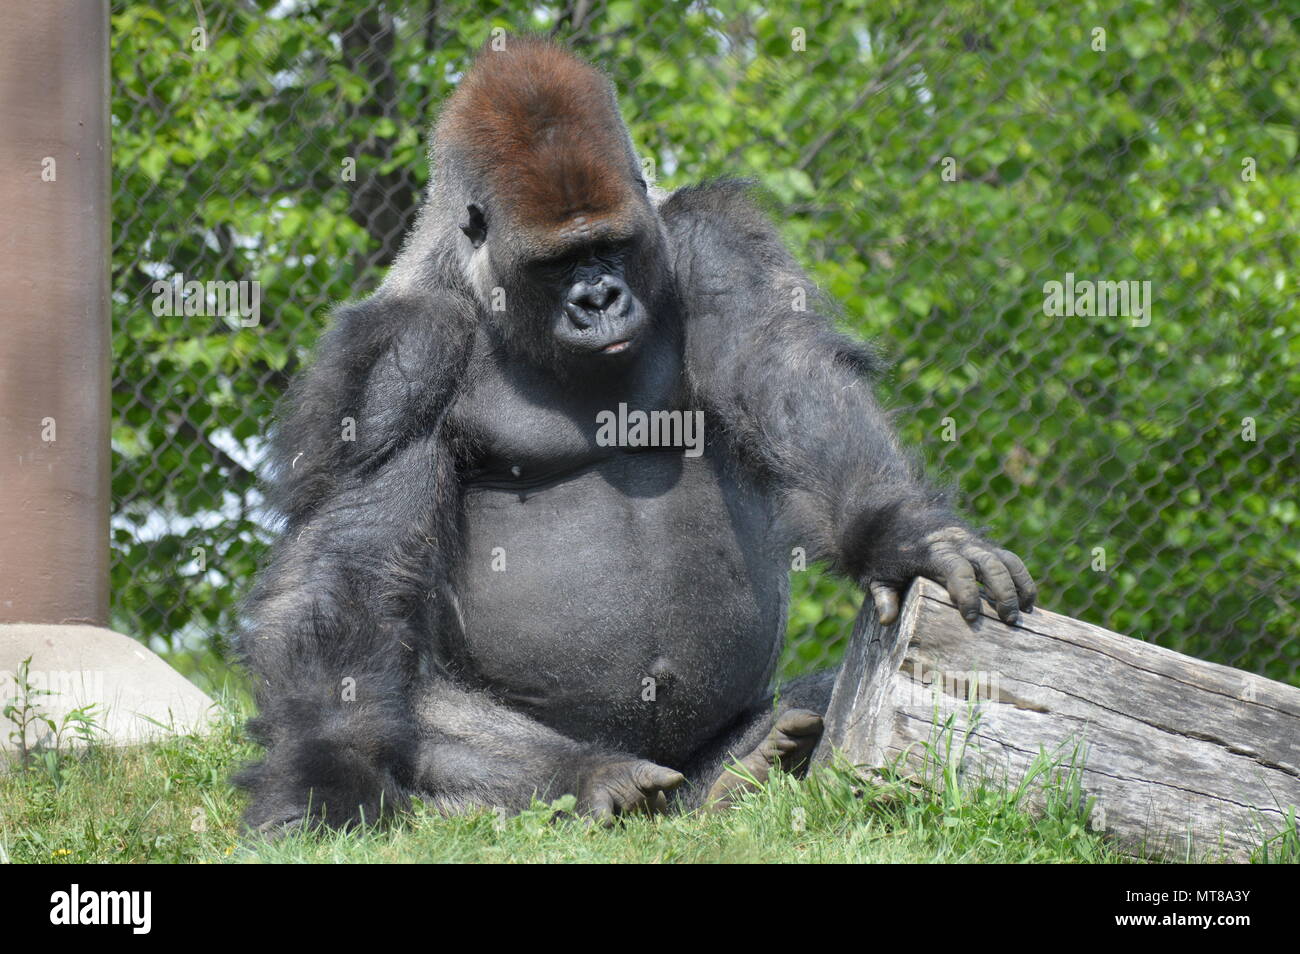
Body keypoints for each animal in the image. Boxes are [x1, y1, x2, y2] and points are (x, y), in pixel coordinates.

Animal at [233, 35, 1034, 831]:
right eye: (558, 262)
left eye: (610, 247)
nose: (599, 300)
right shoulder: (396, 356)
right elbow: (352, 566)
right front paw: (329, 774)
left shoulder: (714, 241)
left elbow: (782, 366)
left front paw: (905, 533)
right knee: (404, 702)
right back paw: (593, 776)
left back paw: (751, 758)